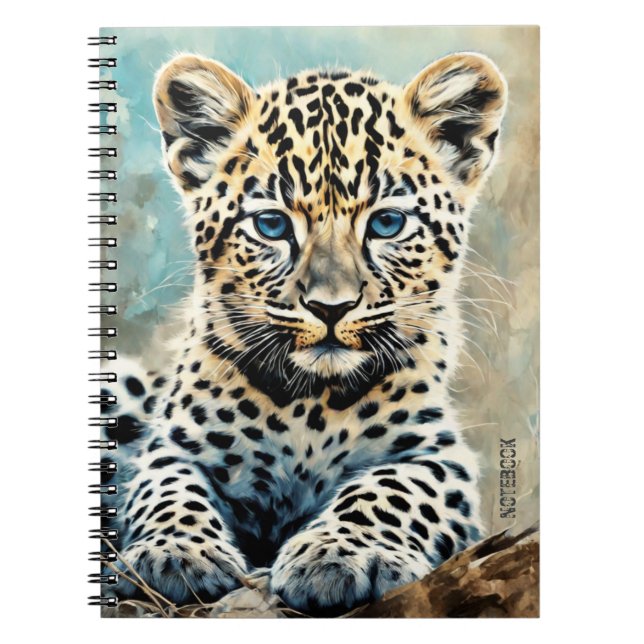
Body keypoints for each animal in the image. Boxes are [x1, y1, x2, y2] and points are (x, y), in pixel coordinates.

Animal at [101, 51, 507, 616]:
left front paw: (338, 556)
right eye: (272, 225)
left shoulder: (438, 454)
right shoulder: (175, 443)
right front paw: (177, 551)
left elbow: (389, 489)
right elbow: (168, 488)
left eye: (387, 223)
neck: (312, 403)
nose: (329, 307)